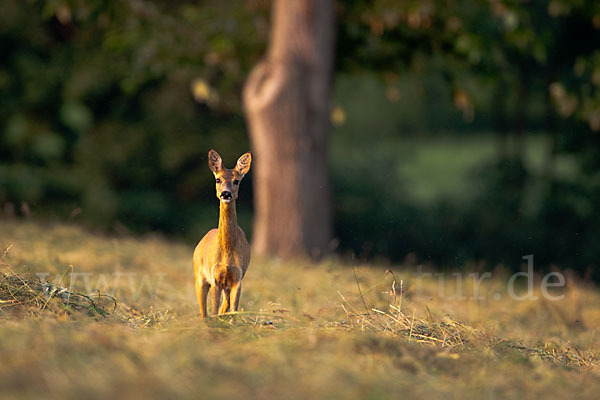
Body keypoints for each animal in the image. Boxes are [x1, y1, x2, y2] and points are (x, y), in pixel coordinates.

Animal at [193, 148, 252, 318]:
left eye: (237, 181)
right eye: (218, 179)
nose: (226, 193)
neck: (227, 252)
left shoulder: (237, 278)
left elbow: (233, 312)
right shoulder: (215, 278)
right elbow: (213, 311)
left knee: (223, 307)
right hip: (199, 276)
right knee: (203, 313)